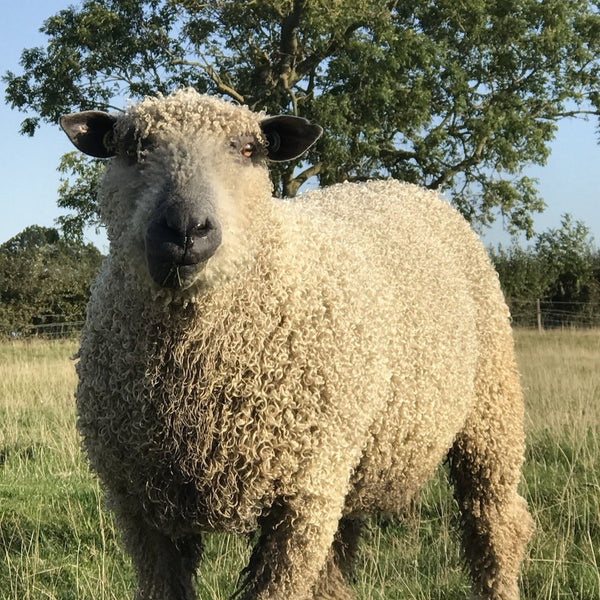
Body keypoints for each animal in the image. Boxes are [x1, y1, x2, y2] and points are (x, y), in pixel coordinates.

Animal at [59, 88, 528, 600]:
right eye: (132, 149)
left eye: (249, 150)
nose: (185, 228)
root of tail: (401, 186)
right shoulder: (138, 506)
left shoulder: (302, 501)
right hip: (350, 462)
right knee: (338, 561)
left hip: (489, 410)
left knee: (496, 525)